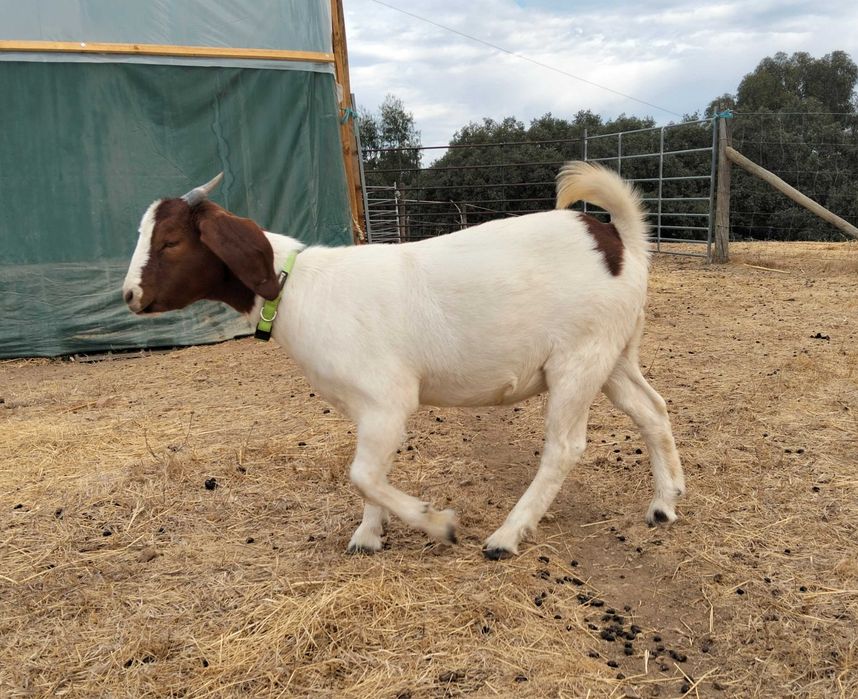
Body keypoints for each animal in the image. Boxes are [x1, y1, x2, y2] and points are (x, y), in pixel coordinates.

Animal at [122, 163, 685, 559]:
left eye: (170, 241)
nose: (130, 295)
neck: (299, 286)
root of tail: (619, 243)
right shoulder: (367, 410)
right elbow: (371, 472)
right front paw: (369, 535)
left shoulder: (387, 399)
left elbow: (362, 474)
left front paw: (438, 523)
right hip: (613, 354)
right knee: (652, 408)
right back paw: (665, 502)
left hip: (577, 358)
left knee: (564, 447)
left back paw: (506, 535)